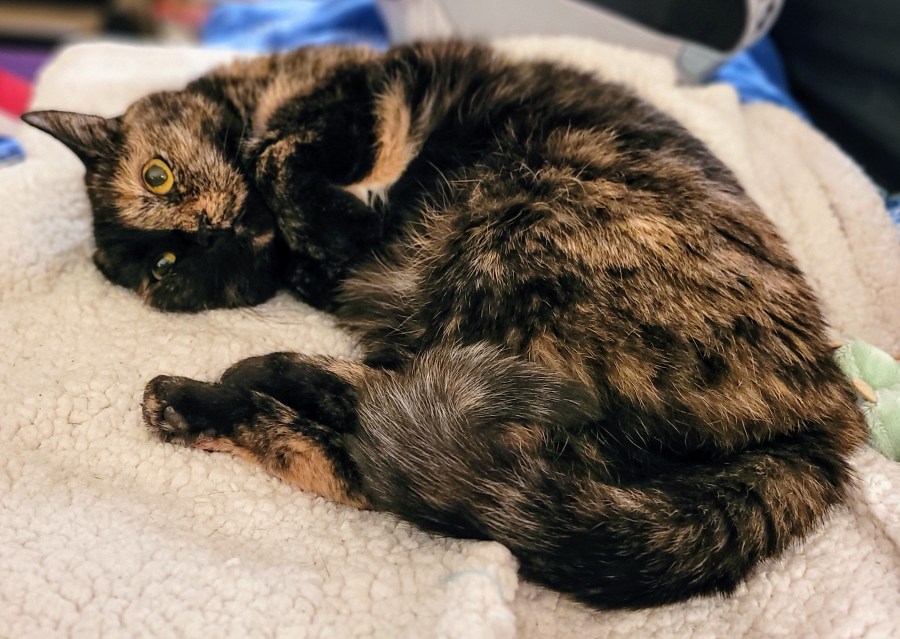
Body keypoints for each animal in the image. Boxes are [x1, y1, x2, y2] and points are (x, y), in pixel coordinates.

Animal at [23, 41, 867, 610]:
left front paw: (302, 187)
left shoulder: (358, 94)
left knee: (401, 440)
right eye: (165, 268)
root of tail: (828, 424)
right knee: (393, 458)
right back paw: (193, 398)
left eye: (158, 176)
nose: (205, 234)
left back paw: (235, 380)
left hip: (519, 214)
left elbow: (282, 152)